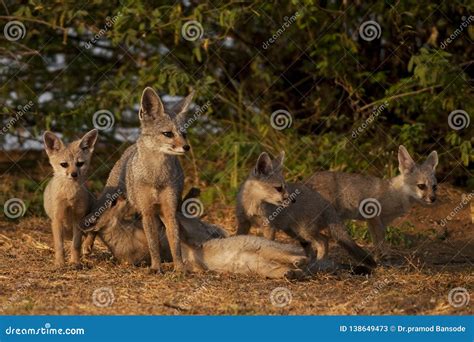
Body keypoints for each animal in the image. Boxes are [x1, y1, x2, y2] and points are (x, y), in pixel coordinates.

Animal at [43, 128, 98, 268]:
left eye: (80, 164)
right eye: (64, 164)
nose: (74, 174)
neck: (69, 194)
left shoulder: (78, 218)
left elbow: (76, 244)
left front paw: (75, 262)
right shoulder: (57, 219)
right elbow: (59, 246)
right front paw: (59, 263)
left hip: (90, 217)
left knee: (94, 231)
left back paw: (87, 246)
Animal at [82, 87, 193, 274]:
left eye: (184, 134)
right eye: (168, 134)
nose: (186, 147)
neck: (156, 177)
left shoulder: (169, 209)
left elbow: (175, 242)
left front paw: (179, 267)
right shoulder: (147, 211)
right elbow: (153, 244)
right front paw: (156, 267)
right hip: (113, 201)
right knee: (96, 222)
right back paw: (87, 245)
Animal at [235, 151, 376, 268]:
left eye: (285, 187)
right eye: (279, 188)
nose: (293, 200)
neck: (252, 205)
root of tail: (326, 203)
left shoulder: (269, 227)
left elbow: (268, 244)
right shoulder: (243, 222)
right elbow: (237, 237)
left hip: (304, 231)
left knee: (324, 241)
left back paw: (319, 263)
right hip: (296, 233)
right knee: (315, 246)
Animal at [306, 144, 438, 256]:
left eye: (434, 187)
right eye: (421, 186)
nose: (433, 199)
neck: (396, 193)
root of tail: (309, 179)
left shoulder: (380, 222)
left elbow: (377, 242)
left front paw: (379, 256)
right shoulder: (373, 216)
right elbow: (380, 240)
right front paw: (384, 256)